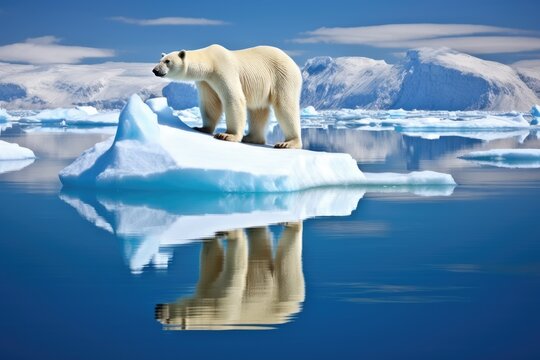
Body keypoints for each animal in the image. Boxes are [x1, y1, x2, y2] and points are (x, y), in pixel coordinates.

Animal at [153, 44, 304, 149]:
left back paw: (288, 143)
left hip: (283, 77)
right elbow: (210, 104)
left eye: (167, 61)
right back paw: (251, 137)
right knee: (258, 110)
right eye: (160, 59)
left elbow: (233, 98)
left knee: (285, 107)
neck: (209, 61)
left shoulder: (223, 70)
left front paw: (227, 135)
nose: (155, 70)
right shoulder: (206, 81)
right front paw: (201, 128)